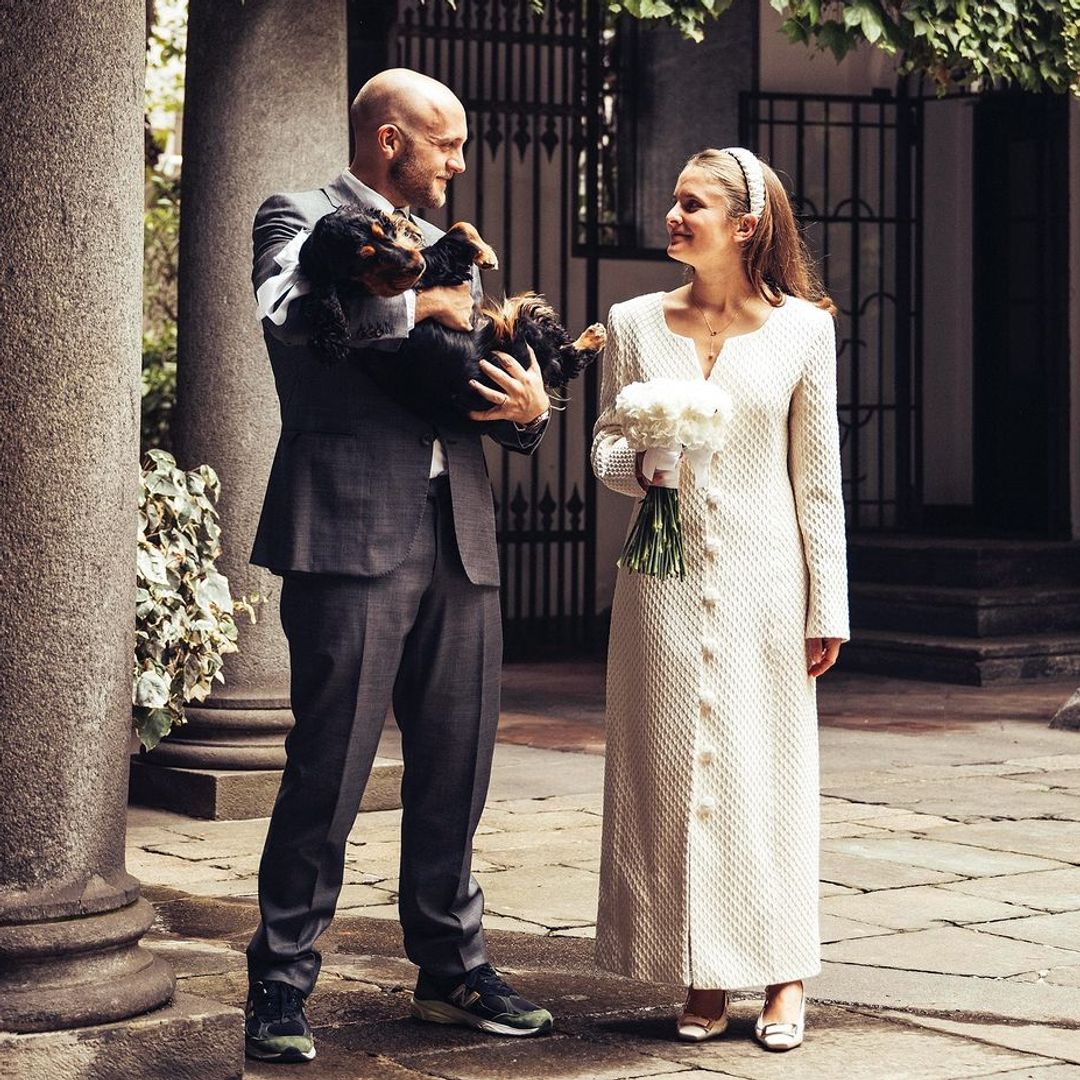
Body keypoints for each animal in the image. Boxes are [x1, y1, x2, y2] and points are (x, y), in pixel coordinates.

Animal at [298, 204, 600, 419]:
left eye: (381, 234)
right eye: (364, 257)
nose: (416, 265)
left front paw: (405, 225)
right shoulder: (431, 268)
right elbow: (459, 229)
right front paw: (486, 254)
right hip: (522, 328)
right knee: (564, 358)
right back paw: (594, 337)